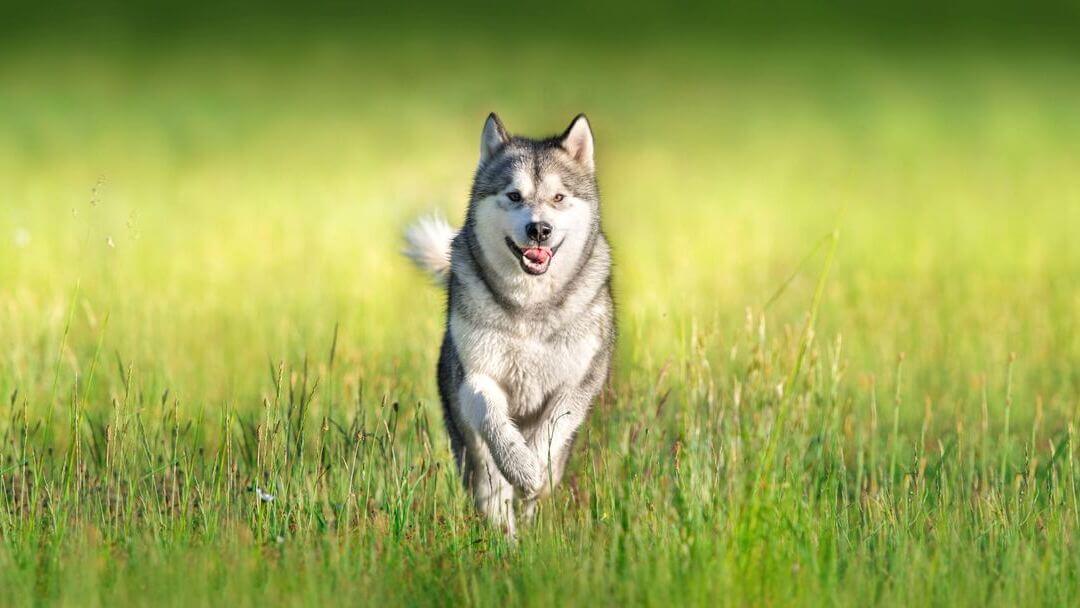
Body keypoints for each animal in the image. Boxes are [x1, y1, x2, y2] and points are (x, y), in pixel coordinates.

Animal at [403, 114, 617, 537]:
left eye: (558, 198)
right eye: (514, 196)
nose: (539, 230)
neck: (529, 304)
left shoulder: (578, 381)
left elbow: (551, 430)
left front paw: (534, 468)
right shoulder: (475, 376)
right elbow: (492, 415)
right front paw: (520, 465)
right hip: (468, 443)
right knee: (491, 489)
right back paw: (506, 539)